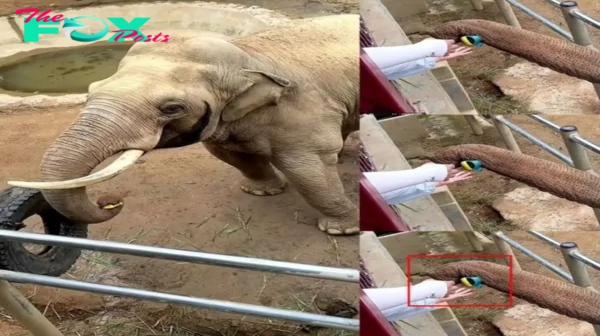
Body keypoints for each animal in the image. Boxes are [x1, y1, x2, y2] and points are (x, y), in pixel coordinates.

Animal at [9, 15, 358, 236]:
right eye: (92, 89)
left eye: (171, 108)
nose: (110, 200)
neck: (249, 52)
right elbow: (232, 156)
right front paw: (260, 191)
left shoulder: (302, 110)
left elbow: (308, 169)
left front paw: (343, 229)